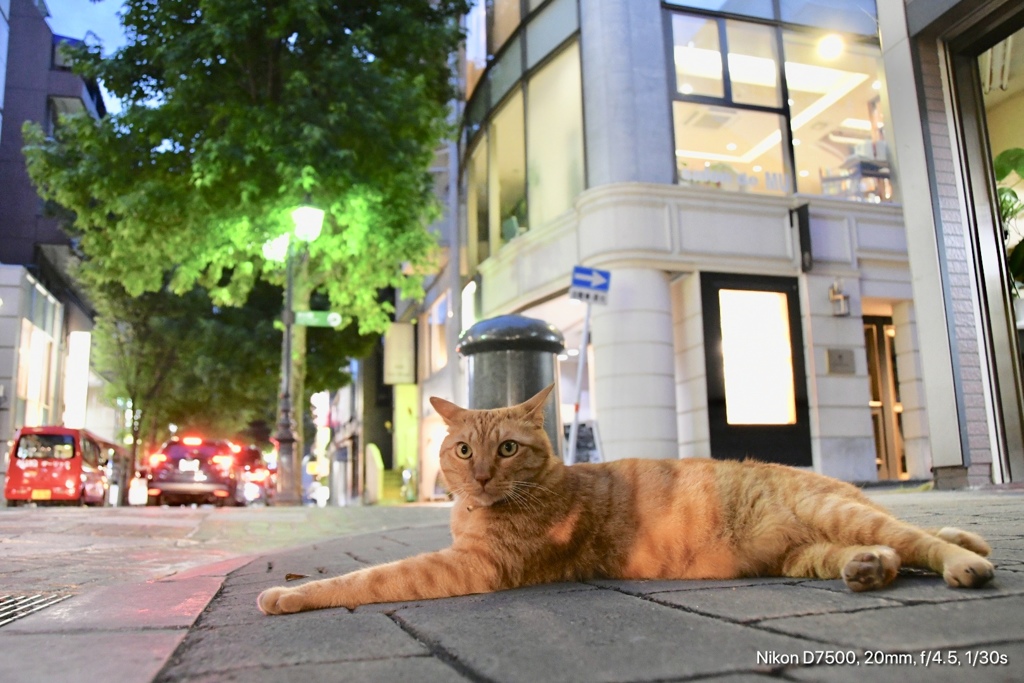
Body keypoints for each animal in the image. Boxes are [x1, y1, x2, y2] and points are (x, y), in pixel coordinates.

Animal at [256, 382, 991, 618]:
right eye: (464, 451)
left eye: (507, 448)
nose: (482, 477)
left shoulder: (471, 567)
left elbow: (366, 578)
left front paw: (287, 594)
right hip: (803, 554)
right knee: (888, 552)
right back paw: (868, 568)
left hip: (841, 513)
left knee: (926, 541)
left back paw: (965, 564)